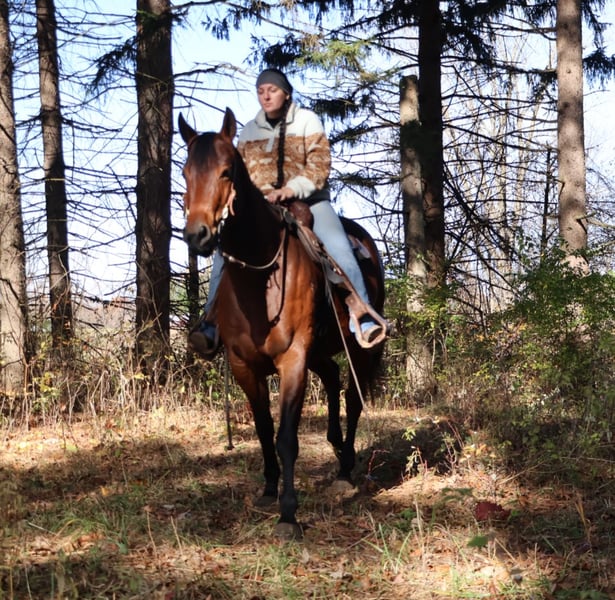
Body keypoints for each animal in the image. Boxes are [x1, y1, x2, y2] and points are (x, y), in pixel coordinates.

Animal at [179, 108, 385, 539]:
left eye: (226, 171)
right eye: (186, 172)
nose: (197, 235)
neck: (259, 280)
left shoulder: (293, 360)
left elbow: (286, 436)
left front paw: (289, 513)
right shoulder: (244, 364)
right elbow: (262, 428)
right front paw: (269, 489)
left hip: (357, 349)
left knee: (352, 398)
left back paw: (345, 471)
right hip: (318, 351)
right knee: (332, 380)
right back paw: (336, 447)